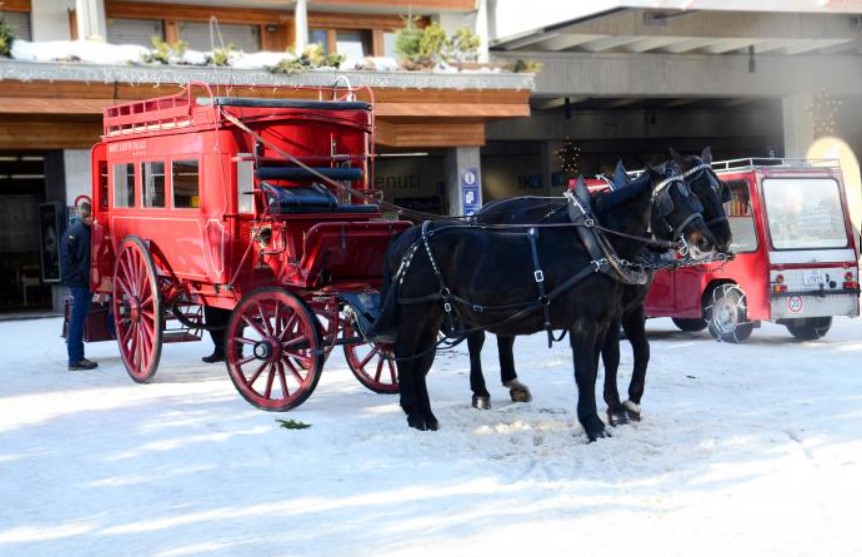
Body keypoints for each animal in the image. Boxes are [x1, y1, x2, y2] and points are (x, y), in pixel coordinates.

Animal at [374, 163, 720, 440]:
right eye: (673, 201)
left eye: (695, 196)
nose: (708, 240)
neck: (594, 244)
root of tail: (406, 238)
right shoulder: (586, 323)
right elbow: (586, 371)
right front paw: (595, 423)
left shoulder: (608, 319)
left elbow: (605, 363)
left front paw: (613, 411)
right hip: (416, 311)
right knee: (407, 354)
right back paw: (417, 412)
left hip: (432, 313)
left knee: (421, 361)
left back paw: (428, 416)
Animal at [470, 146, 732, 424]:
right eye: (697, 190)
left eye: (719, 189)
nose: (719, 239)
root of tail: (482, 210)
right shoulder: (612, 310)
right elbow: (612, 355)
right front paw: (615, 407)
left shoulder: (632, 306)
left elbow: (641, 349)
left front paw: (632, 402)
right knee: (476, 338)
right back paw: (480, 391)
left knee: (505, 335)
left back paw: (514, 383)